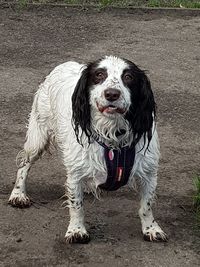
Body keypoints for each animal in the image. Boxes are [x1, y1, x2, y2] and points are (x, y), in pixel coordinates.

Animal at [8, 55, 167, 244]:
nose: (112, 94)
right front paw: (76, 230)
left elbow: (146, 205)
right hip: (38, 137)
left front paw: (151, 229)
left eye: (128, 77)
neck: (112, 135)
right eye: (99, 74)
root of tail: (64, 64)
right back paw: (18, 194)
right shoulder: (75, 173)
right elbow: (77, 205)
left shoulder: (149, 172)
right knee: (24, 165)